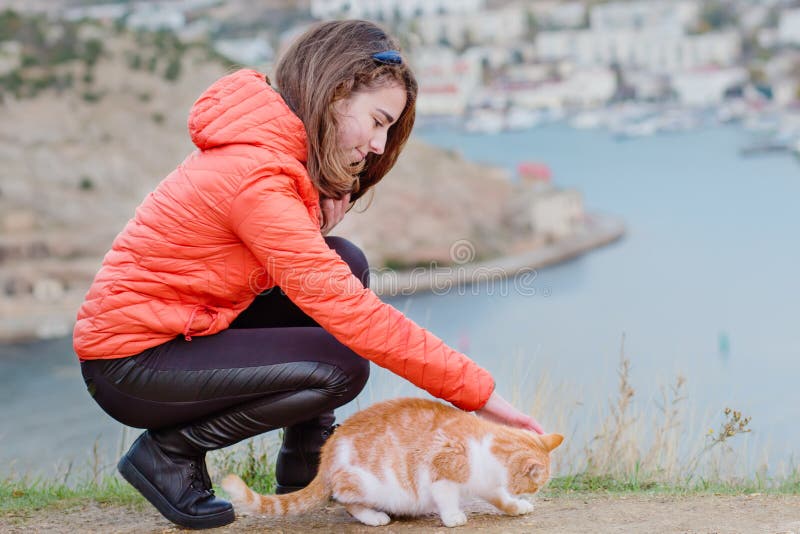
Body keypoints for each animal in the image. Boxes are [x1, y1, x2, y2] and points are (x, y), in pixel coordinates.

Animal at [222, 398, 564, 528]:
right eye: (537, 483)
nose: (535, 492)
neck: (486, 446)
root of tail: (328, 454)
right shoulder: (441, 471)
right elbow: (446, 497)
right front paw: (453, 516)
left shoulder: (488, 483)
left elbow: (500, 497)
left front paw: (515, 506)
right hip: (364, 483)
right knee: (345, 500)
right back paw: (373, 517)